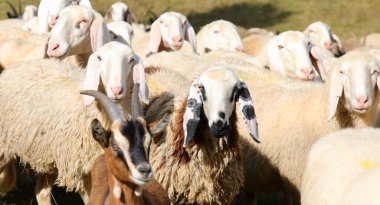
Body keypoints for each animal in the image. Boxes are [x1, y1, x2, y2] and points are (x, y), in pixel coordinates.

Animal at [0, 40, 148, 204]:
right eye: (99, 58)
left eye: (131, 60)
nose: (116, 90)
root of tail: (16, 67)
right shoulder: (79, 170)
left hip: (47, 153)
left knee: (41, 192)